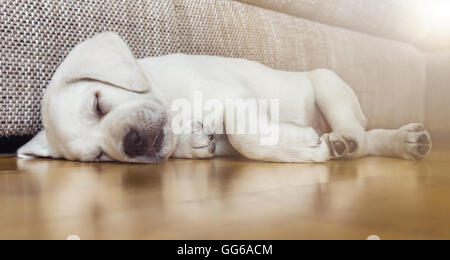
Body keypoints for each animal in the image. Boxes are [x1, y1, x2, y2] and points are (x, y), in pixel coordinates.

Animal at [17, 32, 432, 162]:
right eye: (99, 158)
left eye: (98, 104)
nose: (131, 143)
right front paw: (194, 143)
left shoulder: (237, 96)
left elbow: (241, 132)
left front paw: (301, 147)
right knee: (369, 140)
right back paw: (405, 141)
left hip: (327, 83)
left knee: (359, 137)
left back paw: (344, 142)